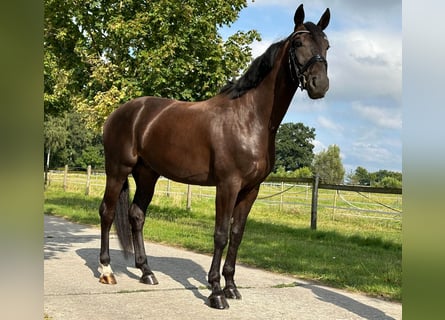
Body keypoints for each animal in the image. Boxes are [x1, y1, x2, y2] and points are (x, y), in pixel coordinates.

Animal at [100, 4, 330, 310]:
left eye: (326, 45)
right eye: (298, 43)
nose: (320, 84)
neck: (250, 117)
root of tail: (119, 113)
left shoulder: (251, 189)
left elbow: (236, 235)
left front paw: (231, 286)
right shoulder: (228, 185)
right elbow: (220, 234)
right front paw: (216, 292)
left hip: (147, 174)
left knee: (136, 216)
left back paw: (147, 272)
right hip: (117, 169)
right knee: (107, 212)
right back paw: (106, 271)